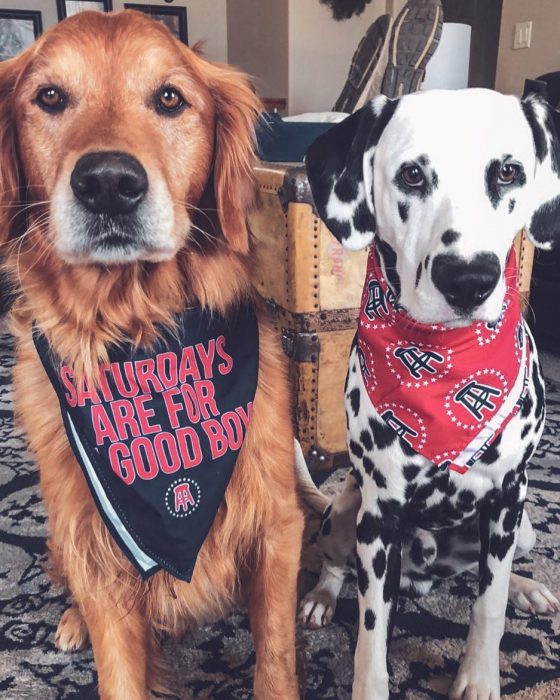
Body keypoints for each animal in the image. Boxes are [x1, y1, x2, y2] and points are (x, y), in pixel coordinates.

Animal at [0, 10, 302, 700]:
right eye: (49, 97)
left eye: (169, 98)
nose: (109, 183)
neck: (141, 331)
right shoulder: (98, 549)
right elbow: (118, 669)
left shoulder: (276, 520)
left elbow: (275, 657)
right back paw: (69, 621)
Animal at [298, 90, 560, 700]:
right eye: (412, 175)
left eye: (508, 171)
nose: (468, 280)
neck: (445, 375)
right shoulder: (379, 514)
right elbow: (372, 627)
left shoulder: (508, 498)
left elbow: (488, 603)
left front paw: (479, 678)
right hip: (346, 511)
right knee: (336, 562)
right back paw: (321, 596)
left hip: (526, 528)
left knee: (493, 572)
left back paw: (527, 588)